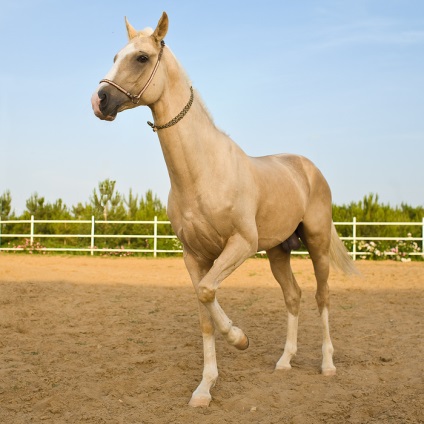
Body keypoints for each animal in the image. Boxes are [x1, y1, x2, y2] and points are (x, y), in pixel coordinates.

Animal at [90, 12, 358, 408]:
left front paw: (239, 338)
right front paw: (204, 389)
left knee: (321, 296)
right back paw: (284, 361)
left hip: (317, 243)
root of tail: (308, 168)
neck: (203, 171)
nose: (100, 100)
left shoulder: (241, 245)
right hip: (278, 252)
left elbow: (207, 293)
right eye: (114, 56)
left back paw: (327, 365)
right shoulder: (194, 256)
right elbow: (205, 311)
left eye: (140, 58)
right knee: (292, 296)